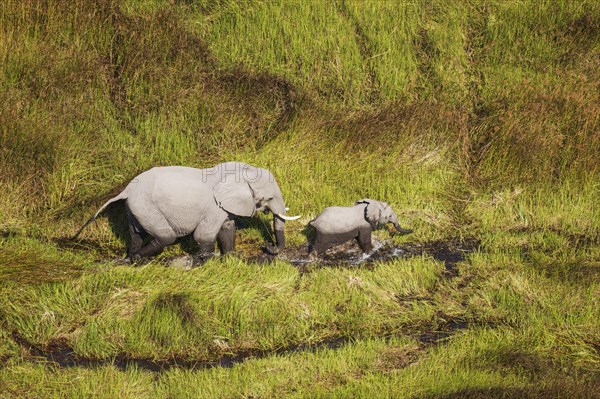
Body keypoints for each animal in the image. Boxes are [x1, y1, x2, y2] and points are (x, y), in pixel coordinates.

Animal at [74, 162, 298, 262]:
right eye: (270, 198)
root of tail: (127, 189)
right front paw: (208, 260)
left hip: (135, 208)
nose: (268, 246)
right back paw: (139, 258)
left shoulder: (224, 207)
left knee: (136, 234)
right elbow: (204, 235)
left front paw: (231, 257)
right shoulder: (214, 206)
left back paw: (131, 258)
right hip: (146, 207)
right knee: (166, 237)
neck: (241, 171)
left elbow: (227, 228)